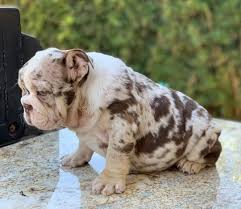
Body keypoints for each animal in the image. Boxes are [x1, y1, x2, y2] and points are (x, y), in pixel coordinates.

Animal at [18, 48, 222, 195]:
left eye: (42, 93)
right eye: (23, 90)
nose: (25, 104)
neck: (85, 100)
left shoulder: (121, 124)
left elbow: (115, 155)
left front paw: (108, 181)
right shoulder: (86, 128)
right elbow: (83, 144)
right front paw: (75, 158)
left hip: (206, 132)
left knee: (211, 155)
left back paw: (191, 163)